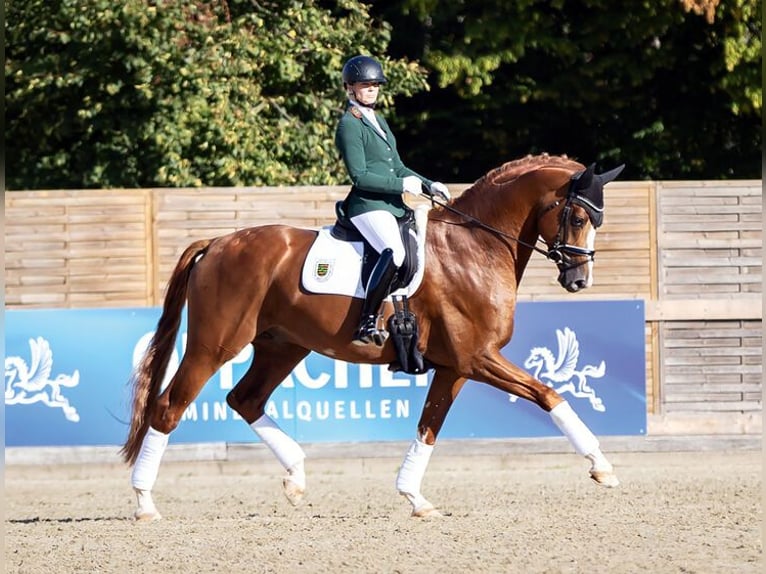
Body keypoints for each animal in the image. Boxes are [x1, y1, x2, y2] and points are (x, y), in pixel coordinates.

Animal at [122, 153, 625, 520]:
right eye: (577, 218)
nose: (579, 280)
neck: (474, 248)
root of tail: (218, 243)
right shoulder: (477, 358)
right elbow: (548, 394)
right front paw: (601, 466)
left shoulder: (455, 367)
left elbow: (428, 427)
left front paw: (415, 498)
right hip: (213, 346)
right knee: (168, 408)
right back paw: (145, 503)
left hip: (283, 347)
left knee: (245, 399)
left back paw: (296, 477)